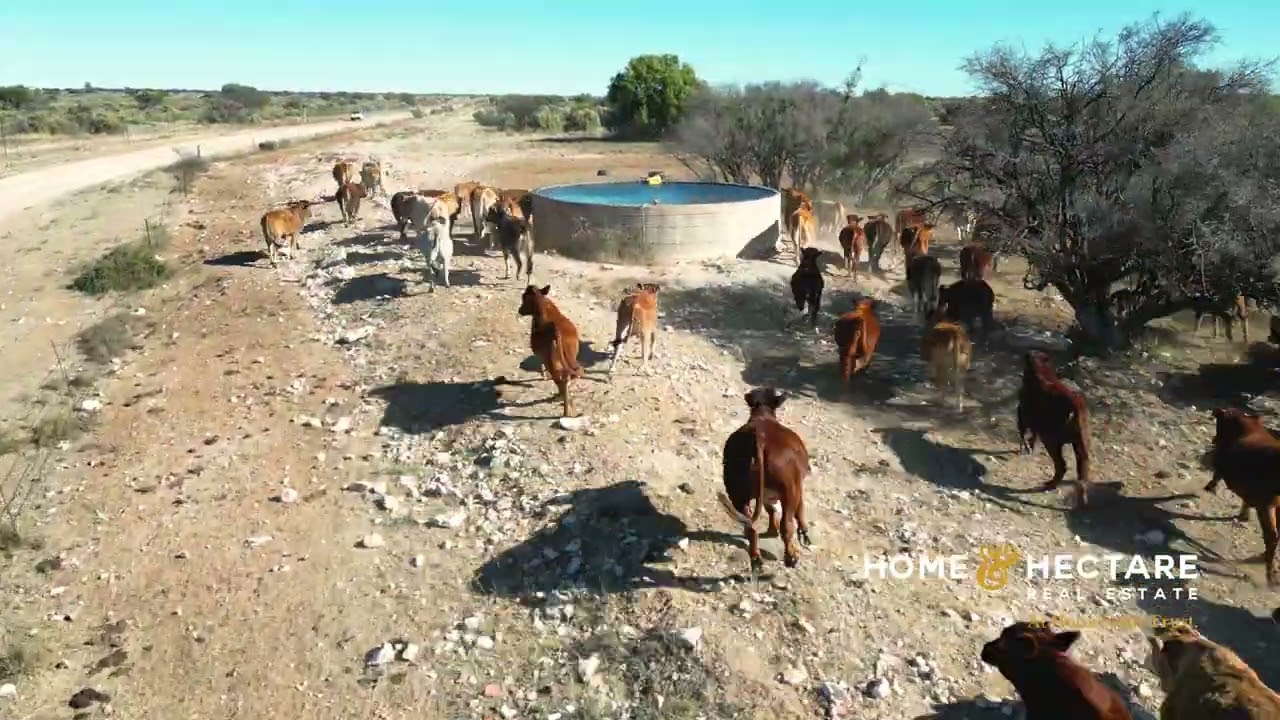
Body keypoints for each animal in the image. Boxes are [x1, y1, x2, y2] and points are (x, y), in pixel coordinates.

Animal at [517, 285, 585, 418]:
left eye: (524, 297)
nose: (520, 310)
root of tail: (556, 331)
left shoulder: (540, 354)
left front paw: (543, 376)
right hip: (572, 356)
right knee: (574, 373)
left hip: (551, 361)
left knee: (560, 380)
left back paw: (564, 408)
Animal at [717, 387, 812, 570]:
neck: (762, 415)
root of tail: (759, 438)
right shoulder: (798, 486)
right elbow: (800, 509)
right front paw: (804, 532)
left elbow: (770, 510)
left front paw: (771, 529)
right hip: (790, 491)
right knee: (786, 526)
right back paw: (791, 557)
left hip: (737, 492)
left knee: (750, 525)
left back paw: (756, 557)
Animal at [1018, 350, 1092, 509]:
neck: (1041, 370)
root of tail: (1075, 406)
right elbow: (1032, 437)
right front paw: (1030, 448)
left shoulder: (1022, 413)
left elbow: (1023, 433)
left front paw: (1025, 448)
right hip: (1081, 449)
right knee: (1082, 477)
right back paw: (1081, 503)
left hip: (1051, 441)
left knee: (1061, 466)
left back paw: (1049, 485)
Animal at [1204, 408, 1280, 585]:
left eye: (1219, 422)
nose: (1213, 439)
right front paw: (1243, 515)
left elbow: (1215, 476)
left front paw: (1209, 488)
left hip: (1267, 505)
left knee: (1272, 536)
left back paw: (1270, 575)